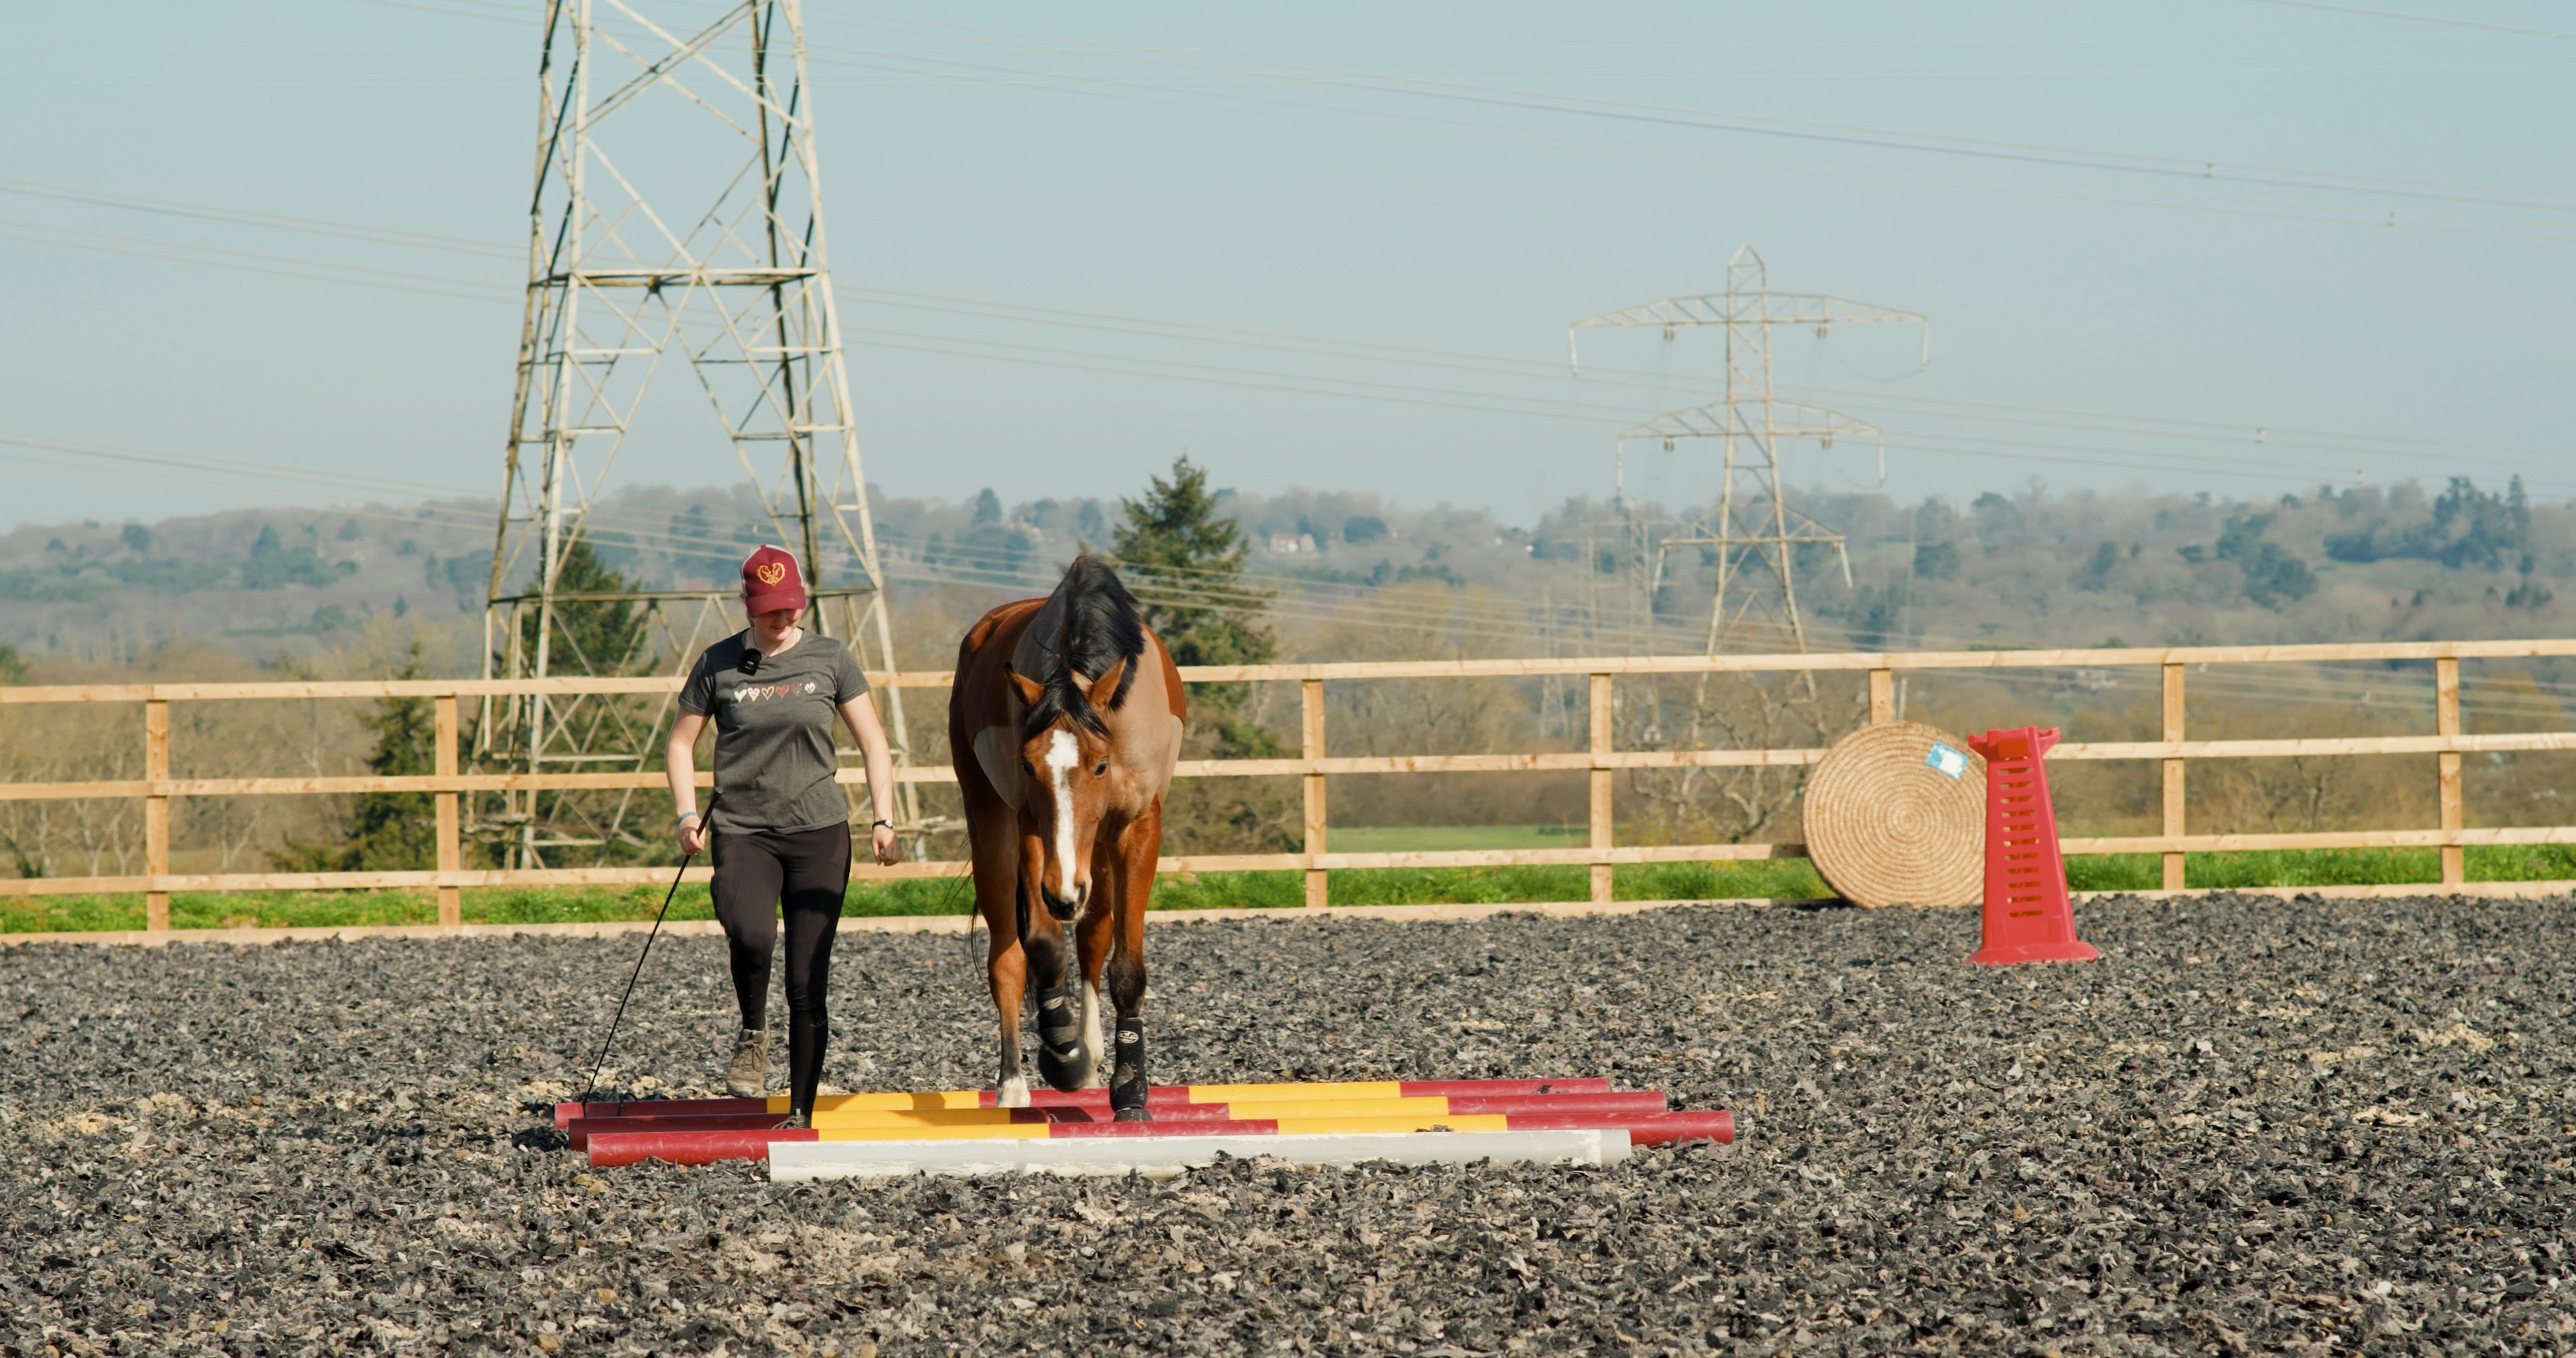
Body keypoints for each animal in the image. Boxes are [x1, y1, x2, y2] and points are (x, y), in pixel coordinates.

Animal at [949, 556, 1185, 1120]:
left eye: (1100, 765)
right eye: (1028, 766)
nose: (1063, 896)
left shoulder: (1136, 828)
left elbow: (1126, 964)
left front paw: (1130, 1090)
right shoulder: (1032, 826)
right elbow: (1042, 946)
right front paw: (1062, 1052)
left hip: (1095, 853)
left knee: (1094, 936)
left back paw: (1095, 1053)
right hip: (992, 824)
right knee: (1009, 958)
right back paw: (1015, 1083)